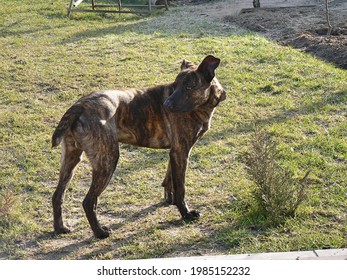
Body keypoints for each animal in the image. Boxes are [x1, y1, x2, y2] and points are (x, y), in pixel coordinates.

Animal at [51, 55, 226, 238]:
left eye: (189, 86)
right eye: (175, 86)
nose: (166, 104)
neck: (202, 106)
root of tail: (79, 105)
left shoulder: (175, 153)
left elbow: (169, 179)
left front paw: (168, 199)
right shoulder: (181, 152)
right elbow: (181, 188)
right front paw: (185, 214)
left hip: (71, 160)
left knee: (57, 196)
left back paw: (60, 227)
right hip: (108, 161)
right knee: (88, 201)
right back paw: (100, 232)